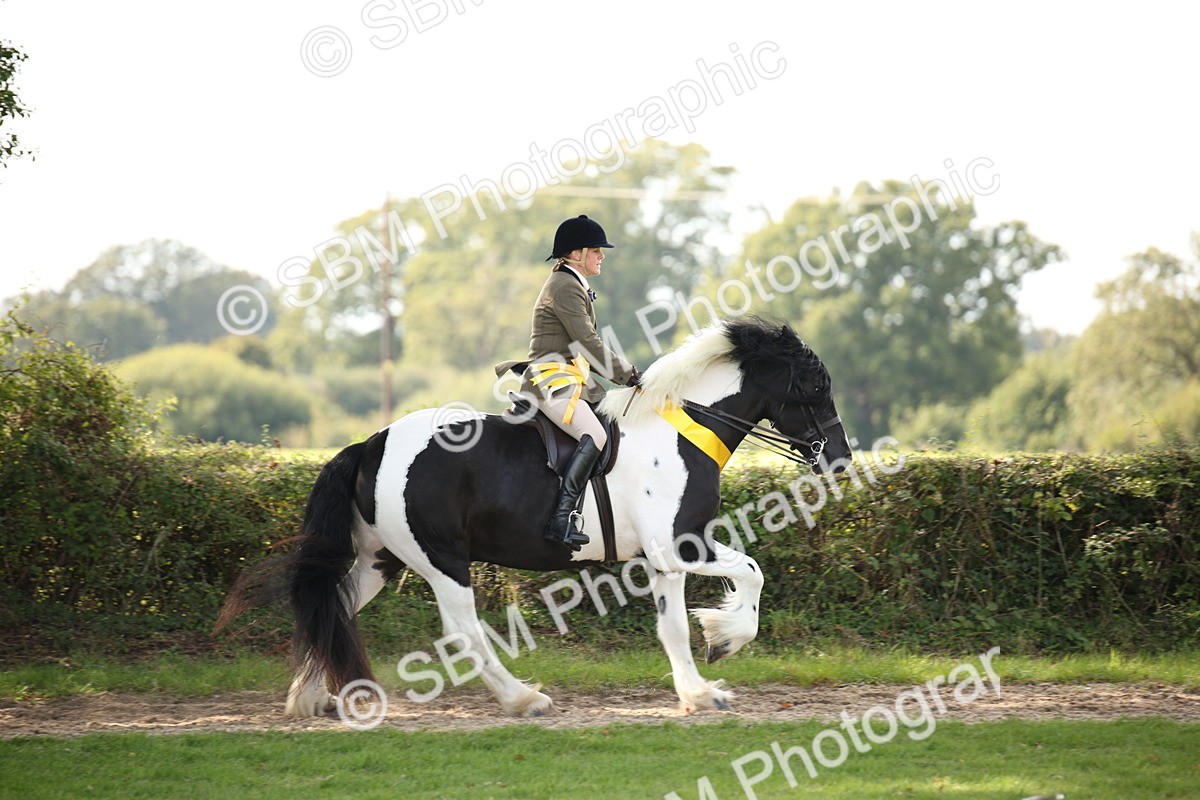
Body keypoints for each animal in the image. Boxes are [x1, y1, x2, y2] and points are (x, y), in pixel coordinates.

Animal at [217, 317, 852, 718]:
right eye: (814, 386)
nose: (841, 461)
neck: (679, 429)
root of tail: (371, 444)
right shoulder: (680, 545)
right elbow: (751, 570)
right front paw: (727, 638)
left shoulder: (665, 558)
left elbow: (672, 628)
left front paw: (700, 691)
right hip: (441, 559)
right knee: (462, 630)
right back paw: (523, 699)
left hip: (381, 557)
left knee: (335, 603)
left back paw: (307, 698)